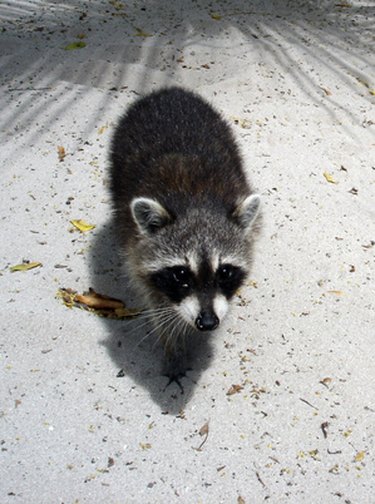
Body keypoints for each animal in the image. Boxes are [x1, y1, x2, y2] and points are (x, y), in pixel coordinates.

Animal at [108, 88, 262, 384]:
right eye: (180, 274)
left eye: (225, 271)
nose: (208, 323)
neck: (196, 204)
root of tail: (167, 90)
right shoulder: (135, 247)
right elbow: (156, 302)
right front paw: (173, 347)